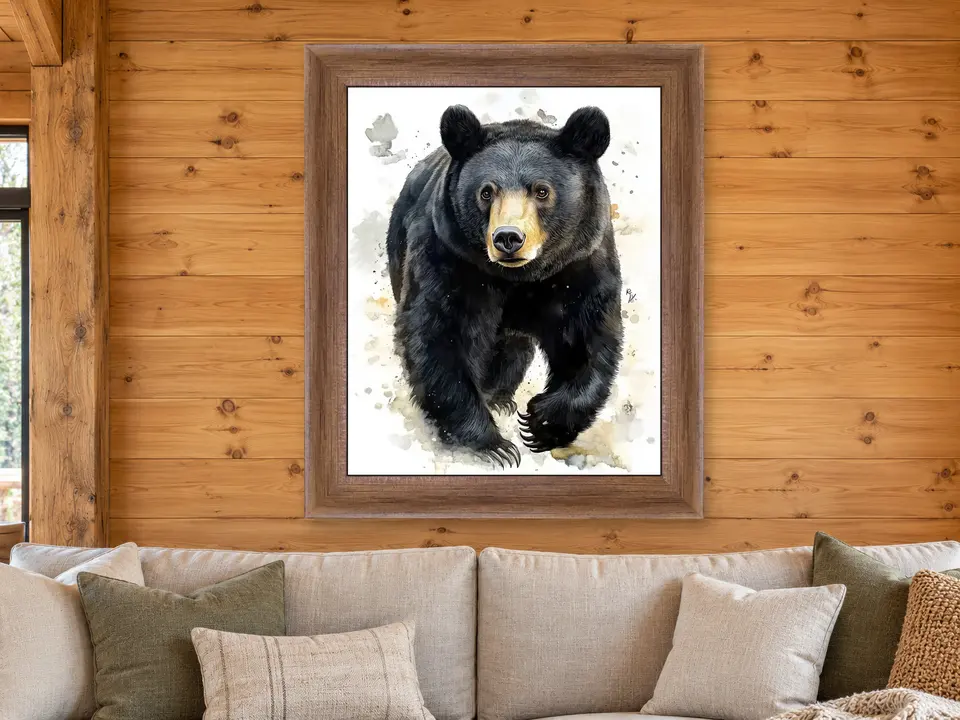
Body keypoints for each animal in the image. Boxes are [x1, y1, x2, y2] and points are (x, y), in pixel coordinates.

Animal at [386, 104, 623, 468]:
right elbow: (438, 333)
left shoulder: (580, 263)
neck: (520, 277)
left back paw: (499, 396)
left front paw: (540, 423)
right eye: (486, 191)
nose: (508, 237)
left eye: (541, 190)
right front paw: (491, 445)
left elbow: (585, 338)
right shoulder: (448, 256)